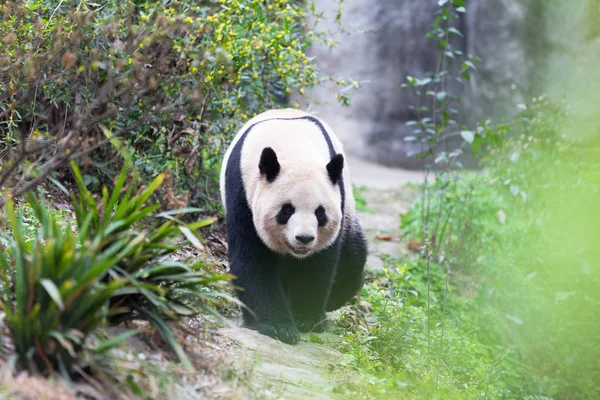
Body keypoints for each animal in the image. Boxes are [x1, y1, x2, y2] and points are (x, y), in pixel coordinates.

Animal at [219, 108, 366, 344]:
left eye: (320, 212)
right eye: (287, 210)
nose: (304, 238)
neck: (293, 146)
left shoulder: (337, 197)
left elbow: (317, 263)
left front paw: (307, 318)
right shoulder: (242, 193)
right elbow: (252, 257)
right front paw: (278, 326)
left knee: (352, 258)